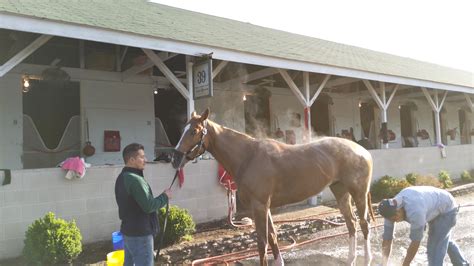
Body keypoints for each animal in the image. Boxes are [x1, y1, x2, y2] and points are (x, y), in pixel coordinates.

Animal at [172, 109, 376, 264]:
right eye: (183, 129)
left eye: (194, 131)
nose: (174, 158)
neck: (249, 156)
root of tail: (362, 151)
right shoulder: (265, 207)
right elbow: (273, 237)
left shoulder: (259, 206)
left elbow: (262, 243)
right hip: (340, 191)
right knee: (351, 224)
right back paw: (350, 259)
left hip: (358, 193)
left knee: (364, 224)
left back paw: (367, 259)